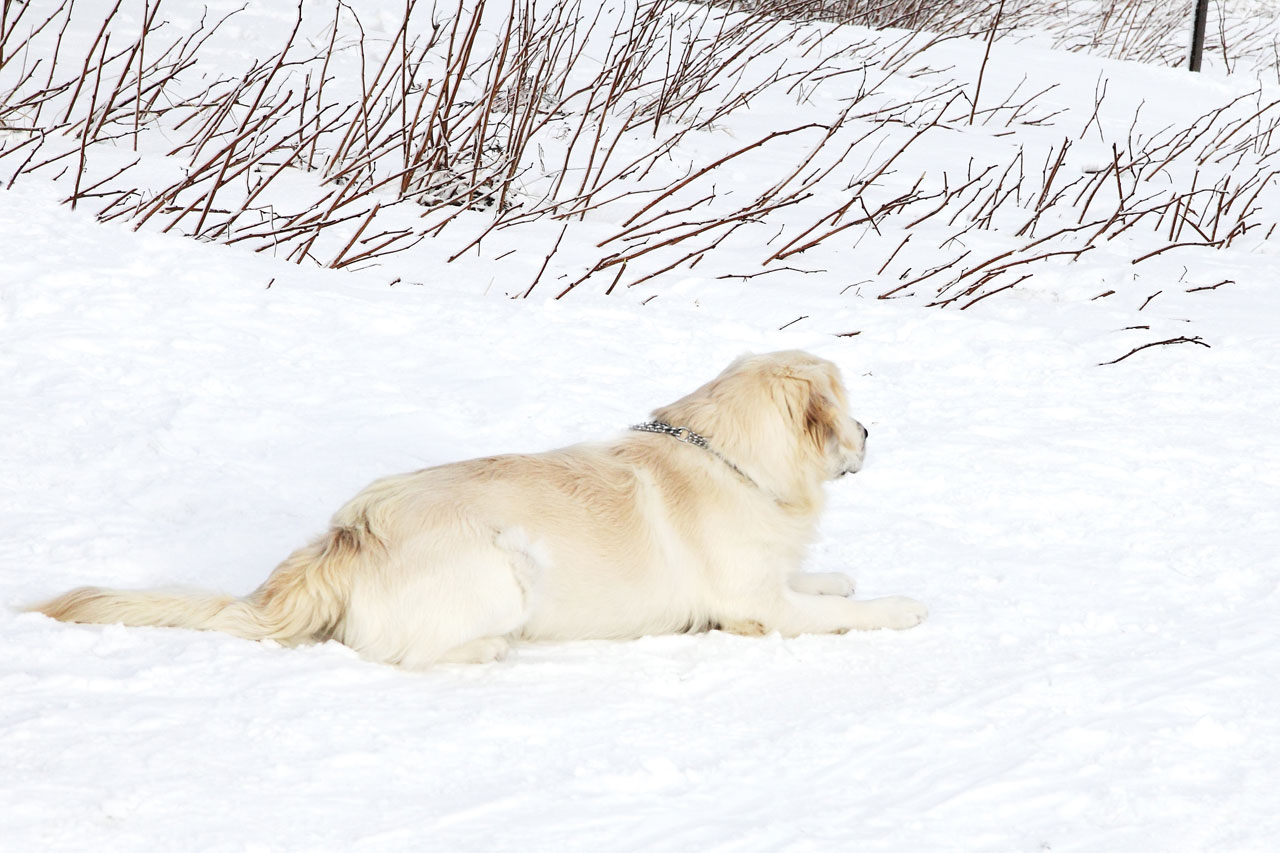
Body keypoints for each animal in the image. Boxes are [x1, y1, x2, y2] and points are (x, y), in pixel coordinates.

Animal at [35, 348, 926, 666]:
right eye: (847, 408)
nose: (872, 431)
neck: (732, 458)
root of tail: (345, 535)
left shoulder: (769, 581)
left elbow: (821, 579)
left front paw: (840, 573)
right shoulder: (759, 608)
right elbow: (846, 611)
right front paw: (900, 605)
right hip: (504, 567)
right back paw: (492, 648)